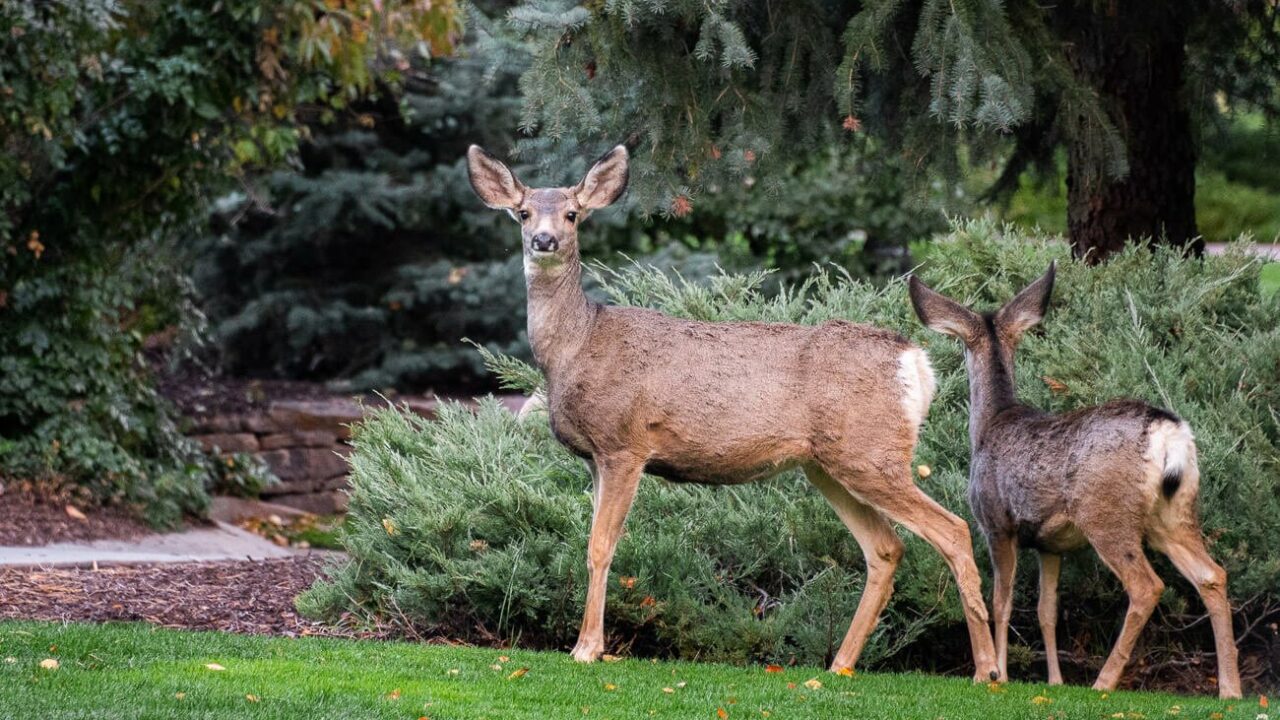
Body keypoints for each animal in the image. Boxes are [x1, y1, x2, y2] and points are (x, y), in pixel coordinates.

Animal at [468, 142, 998, 676]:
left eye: (573, 214)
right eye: (523, 212)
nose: (544, 240)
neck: (576, 346)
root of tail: (917, 362)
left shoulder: (623, 443)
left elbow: (600, 547)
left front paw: (587, 648)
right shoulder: (594, 457)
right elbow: (592, 543)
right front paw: (587, 643)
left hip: (872, 452)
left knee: (953, 530)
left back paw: (987, 670)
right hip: (829, 463)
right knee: (887, 548)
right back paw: (840, 666)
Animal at [911, 262, 1239, 696]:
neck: (990, 425)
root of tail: (1170, 433)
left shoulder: (997, 522)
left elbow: (1002, 601)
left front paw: (1000, 674)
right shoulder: (1050, 545)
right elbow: (1046, 610)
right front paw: (1054, 681)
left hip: (1106, 512)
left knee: (1147, 586)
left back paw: (1104, 681)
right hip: (1176, 510)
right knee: (1213, 575)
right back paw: (1231, 689)